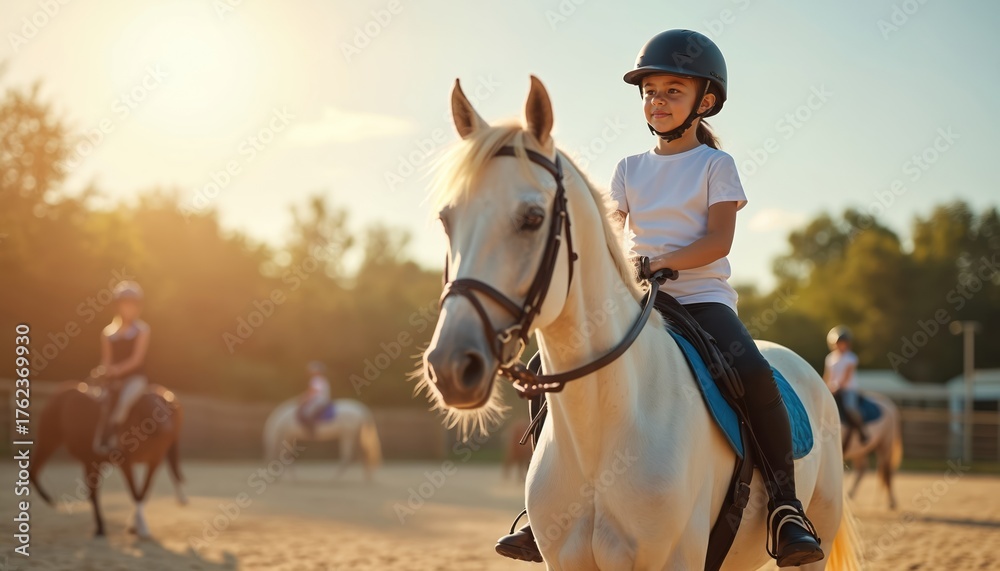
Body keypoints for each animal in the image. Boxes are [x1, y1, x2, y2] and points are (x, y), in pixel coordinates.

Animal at [29, 380, 186, 538]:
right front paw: (138, 526)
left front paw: (137, 524)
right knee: (34, 471)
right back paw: (50, 500)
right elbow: (135, 492)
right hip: (48, 442)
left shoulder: (154, 462)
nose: (167, 429)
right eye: (149, 406)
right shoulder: (125, 463)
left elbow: (143, 491)